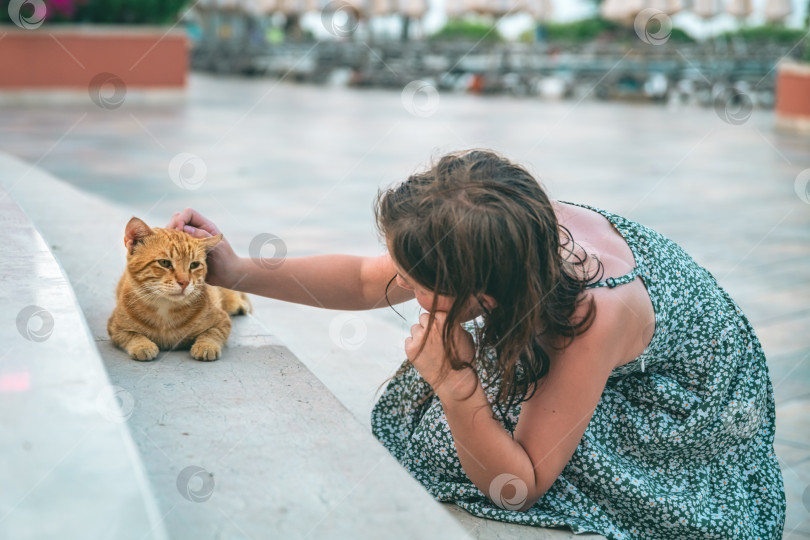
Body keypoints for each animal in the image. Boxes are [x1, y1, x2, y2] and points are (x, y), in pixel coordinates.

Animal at [107, 216, 251, 362]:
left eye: (194, 265)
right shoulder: (115, 326)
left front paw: (206, 346)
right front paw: (142, 345)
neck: (164, 308)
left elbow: (212, 333)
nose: (185, 282)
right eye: (164, 263)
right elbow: (132, 335)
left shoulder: (222, 321)